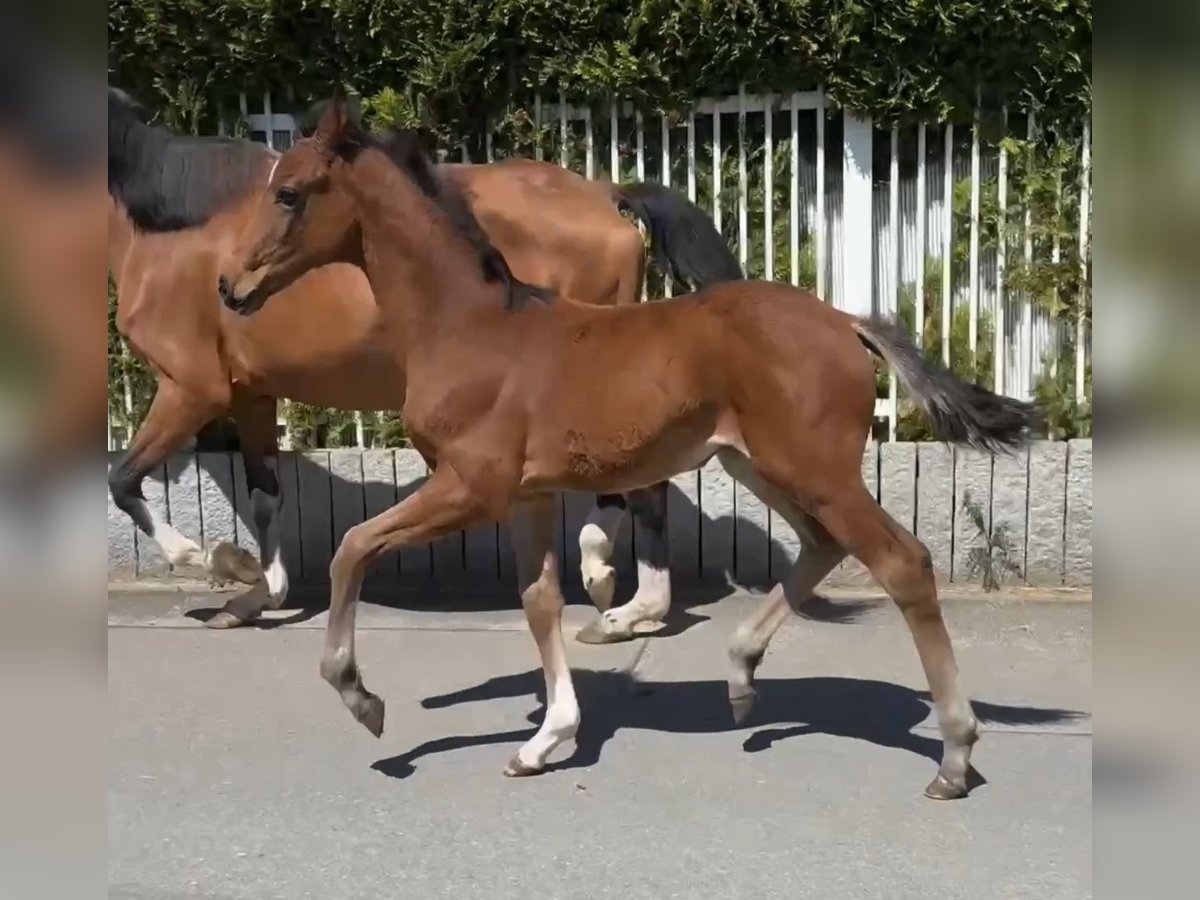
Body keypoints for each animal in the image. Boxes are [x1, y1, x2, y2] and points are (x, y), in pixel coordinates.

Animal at [107, 87, 743, 636]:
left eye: (287, 194)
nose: (230, 286)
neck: (173, 228)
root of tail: (604, 195)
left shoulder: (192, 387)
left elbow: (124, 479)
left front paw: (214, 559)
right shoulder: (252, 392)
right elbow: (265, 497)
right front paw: (255, 593)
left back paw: (619, 593)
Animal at [218, 93, 1041, 799]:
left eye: (290, 193)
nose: (230, 286)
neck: (468, 328)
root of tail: (845, 321)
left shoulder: (471, 485)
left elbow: (353, 546)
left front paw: (360, 696)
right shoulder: (526, 494)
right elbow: (539, 600)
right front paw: (545, 741)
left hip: (814, 469)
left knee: (903, 563)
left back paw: (955, 755)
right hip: (757, 463)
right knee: (822, 546)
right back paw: (741, 675)